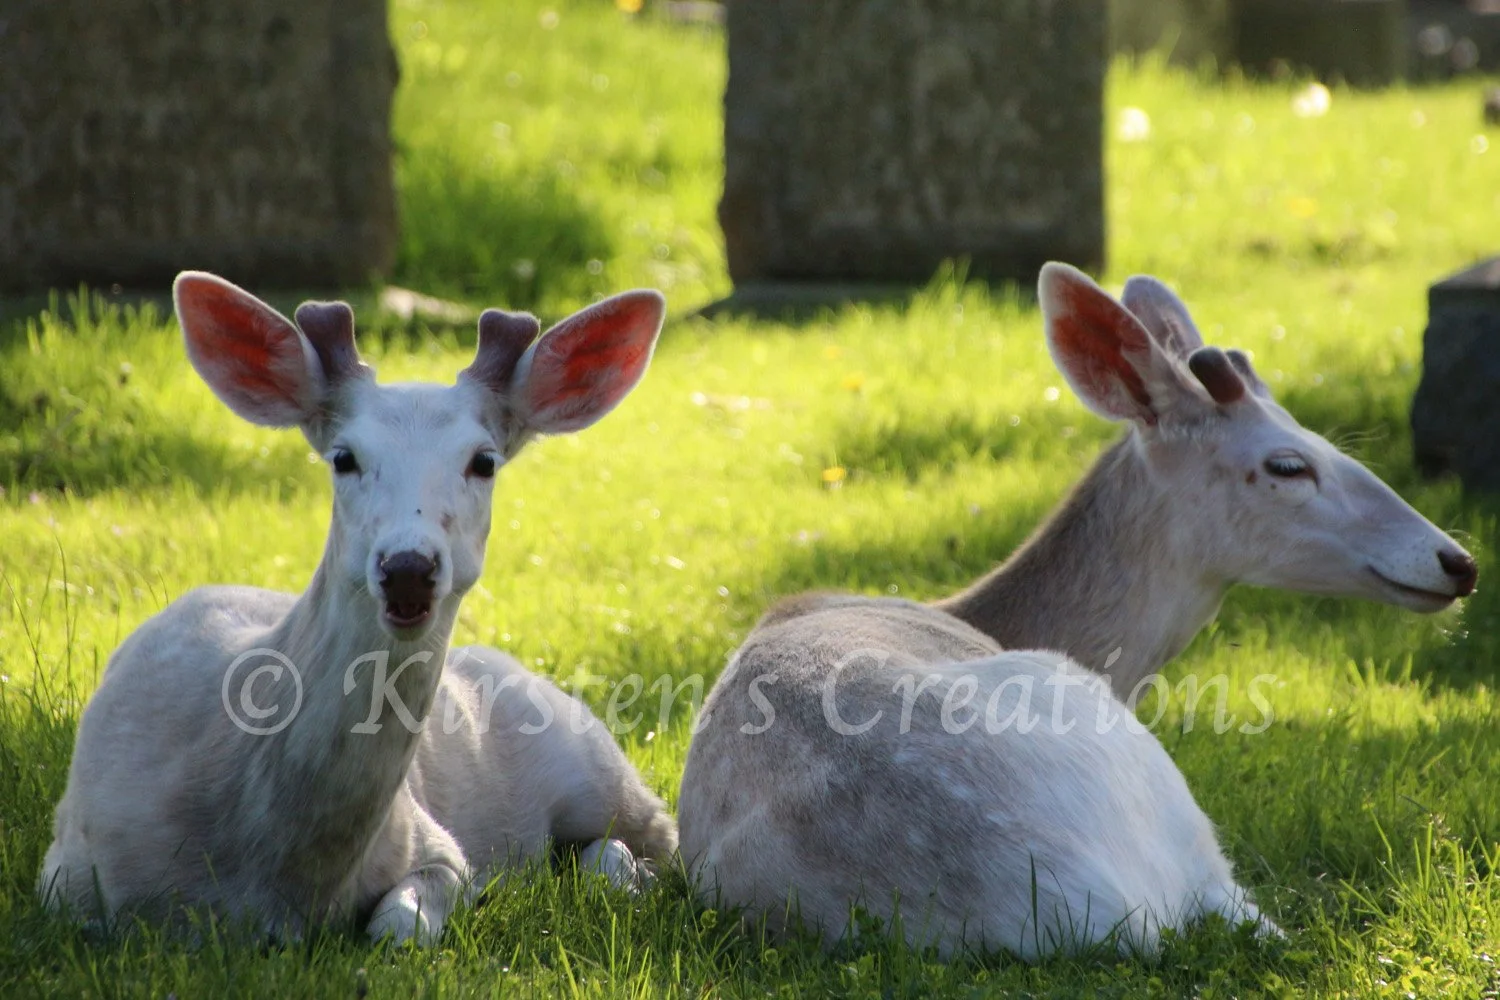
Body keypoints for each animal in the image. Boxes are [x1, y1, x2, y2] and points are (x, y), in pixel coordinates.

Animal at [38, 273, 679, 945]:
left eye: (484, 461)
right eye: (343, 457)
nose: (408, 568)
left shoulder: (437, 845)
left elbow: (401, 928)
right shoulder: (64, 878)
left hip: (593, 758)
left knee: (659, 842)